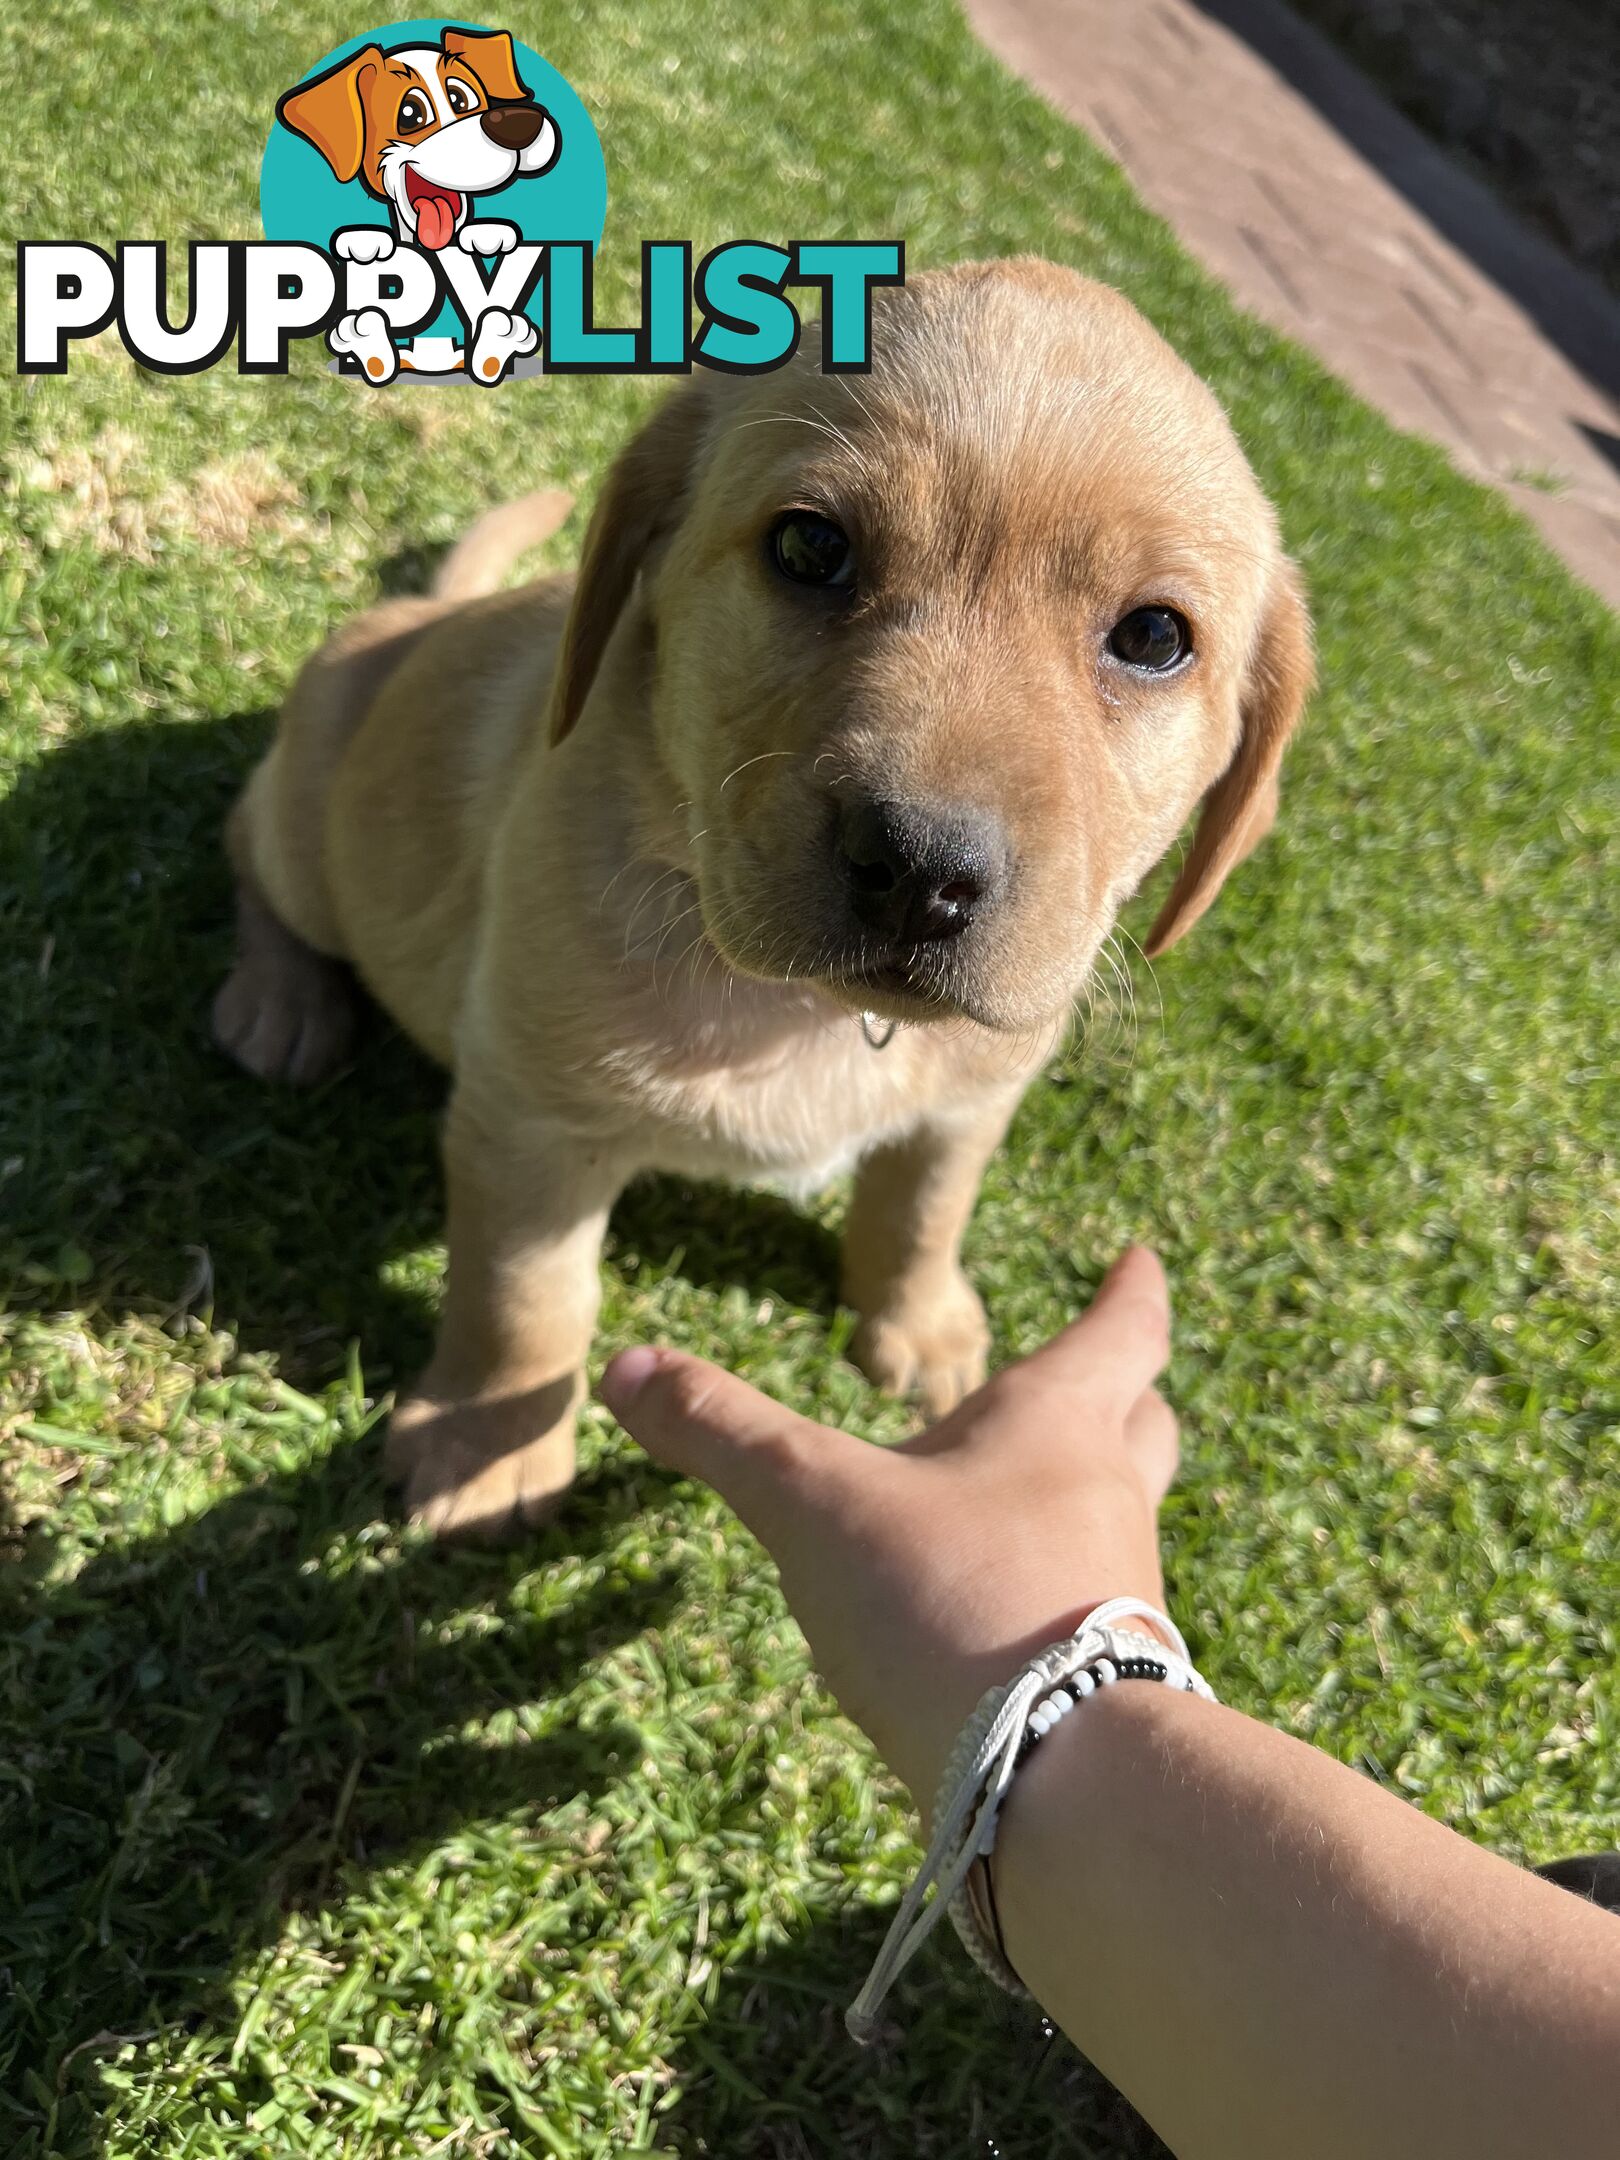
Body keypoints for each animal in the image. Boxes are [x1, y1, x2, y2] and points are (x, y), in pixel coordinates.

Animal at [216, 257, 1313, 1537]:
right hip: (310, 819)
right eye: (810, 549)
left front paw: (921, 1324)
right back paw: (280, 1001)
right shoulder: (534, 1119)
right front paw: (486, 1450)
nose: (920, 869)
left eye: (1151, 636)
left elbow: (924, 1207)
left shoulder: (973, 1096)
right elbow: (525, 1301)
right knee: (251, 851)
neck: (807, 1016)